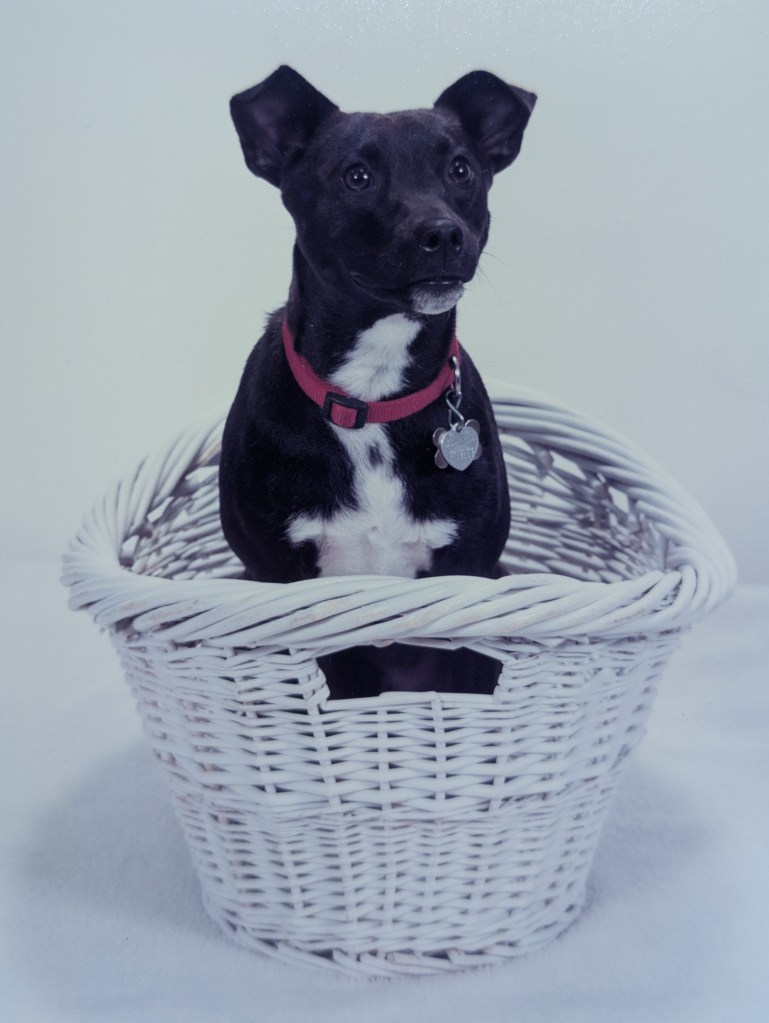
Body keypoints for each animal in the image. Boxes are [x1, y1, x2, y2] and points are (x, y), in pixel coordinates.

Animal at [219, 66, 536, 698]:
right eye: (356, 176)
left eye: (460, 168)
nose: (443, 234)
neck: (371, 395)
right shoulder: (275, 580)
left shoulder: (470, 577)